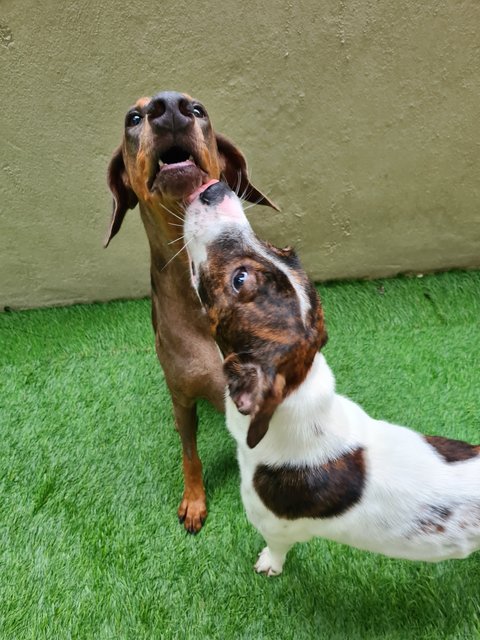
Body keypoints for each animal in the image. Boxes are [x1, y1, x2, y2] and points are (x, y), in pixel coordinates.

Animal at [105, 92, 278, 532]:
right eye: (133, 118)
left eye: (199, 110)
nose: (169, 105)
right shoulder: (183, 396)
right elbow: (189, 453)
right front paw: (195, 501)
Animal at [183, 180, 476, 576]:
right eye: (284, 249)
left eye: (240, 279)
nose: (215, 188)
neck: (296, 394)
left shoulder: (273, 526)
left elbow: (276, 550)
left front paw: (269, 564)